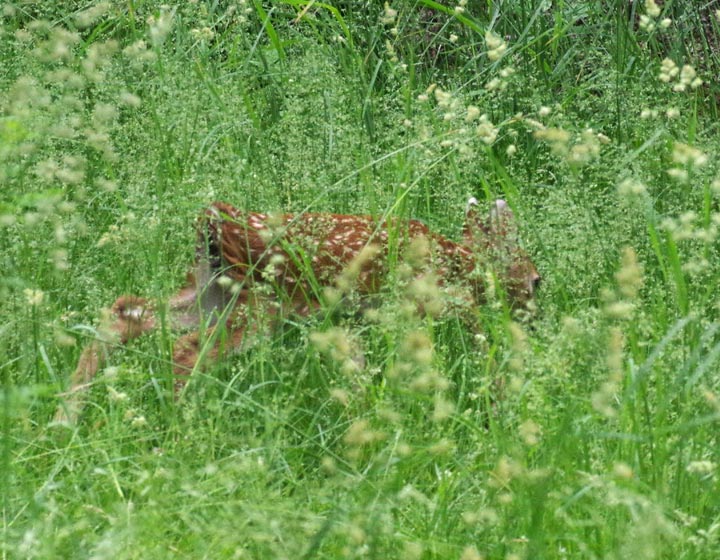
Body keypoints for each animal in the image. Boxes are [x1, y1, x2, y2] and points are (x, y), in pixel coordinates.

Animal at [53, 198, 540, 425]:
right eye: (537, 279)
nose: (535, 308)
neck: (460, 263)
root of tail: (214, 220)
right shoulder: (417, 305)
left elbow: (356, 368)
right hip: (257, 305)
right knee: (185, 351)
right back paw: (177, 425)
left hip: (208, 294)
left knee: (126, 312)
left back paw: (66, 416)